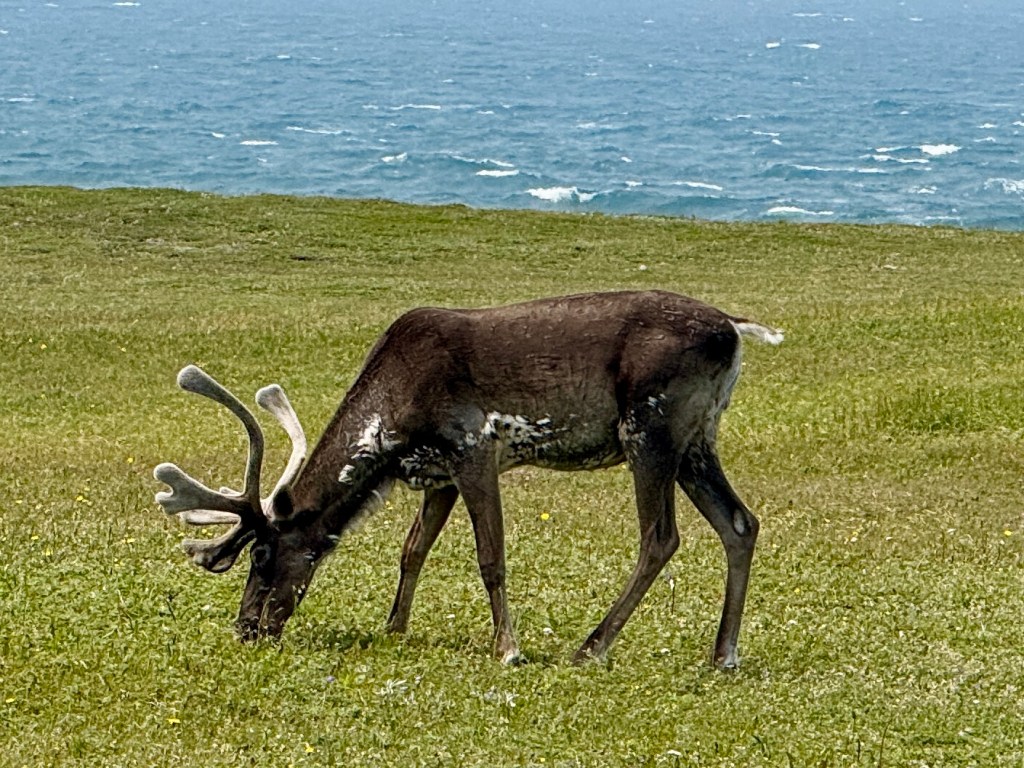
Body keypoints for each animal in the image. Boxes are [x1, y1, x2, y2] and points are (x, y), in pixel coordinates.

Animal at [154, 290, 782, 668]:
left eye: (262, 556)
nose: (247, 627)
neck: (388, 433)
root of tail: (735, 331)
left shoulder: (474, 448)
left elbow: (490, 556)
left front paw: (509, 649)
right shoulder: (439, 474)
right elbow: (412, 549)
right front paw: (393, 629)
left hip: (650, 428)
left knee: (661, 537)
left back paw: (592, 645)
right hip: (696, 437)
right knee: (740, 522)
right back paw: (723, 653)